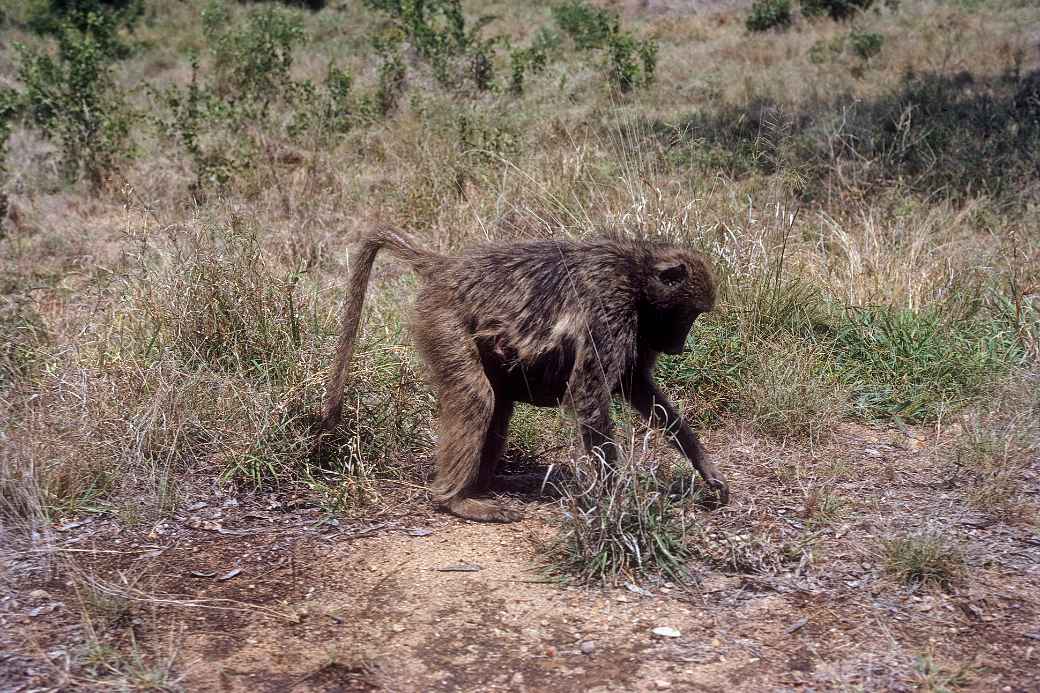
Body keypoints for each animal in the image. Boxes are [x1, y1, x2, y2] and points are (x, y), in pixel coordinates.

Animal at [319, 226, 729, 523]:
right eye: (688, 314)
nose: (678, 345)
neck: (637, 272)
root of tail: (445, 266)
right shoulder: (609, 306)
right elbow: (590, 391)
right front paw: (618, 502)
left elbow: (637, 386)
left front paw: (706, 468)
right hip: (441, 318)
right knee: (477, 397)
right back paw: (456, 501)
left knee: (499, 403)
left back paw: (483, 485)